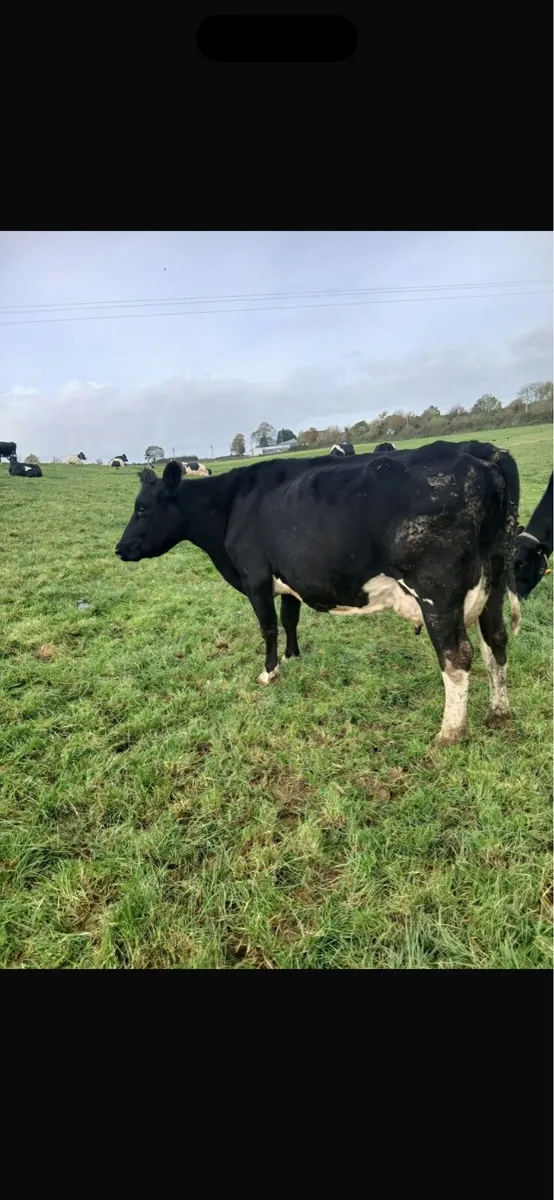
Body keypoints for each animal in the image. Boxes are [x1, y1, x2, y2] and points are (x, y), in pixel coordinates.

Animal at [116, 440, 521, 746]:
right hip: (494, 579)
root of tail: (481, 452)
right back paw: (498, 713)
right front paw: (293, 658)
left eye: (143, 509)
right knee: (495, 641)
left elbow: (268, 627)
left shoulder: (255, 579)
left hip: (438, 592)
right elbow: (289, 619)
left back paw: (450, 732)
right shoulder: (287, 579)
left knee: (456, 655)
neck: (231, 507)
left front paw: (269, 673)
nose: (120, 549)